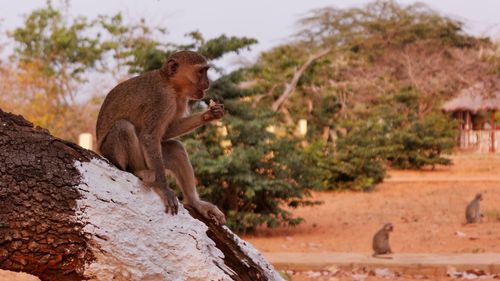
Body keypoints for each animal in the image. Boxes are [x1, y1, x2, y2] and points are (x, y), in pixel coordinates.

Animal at [94, 50, 227, 224]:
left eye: (205, 71)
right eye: (201, 72)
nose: (207, 83)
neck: (170, 84)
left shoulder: (179, 100)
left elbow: (167, 131)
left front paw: (209, 114)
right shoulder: (163, 100)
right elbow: (150, 136)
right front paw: (164, 188)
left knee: (176, 149)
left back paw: (195, 202)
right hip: (113, 153)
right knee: (123, 128)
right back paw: (139, 172)